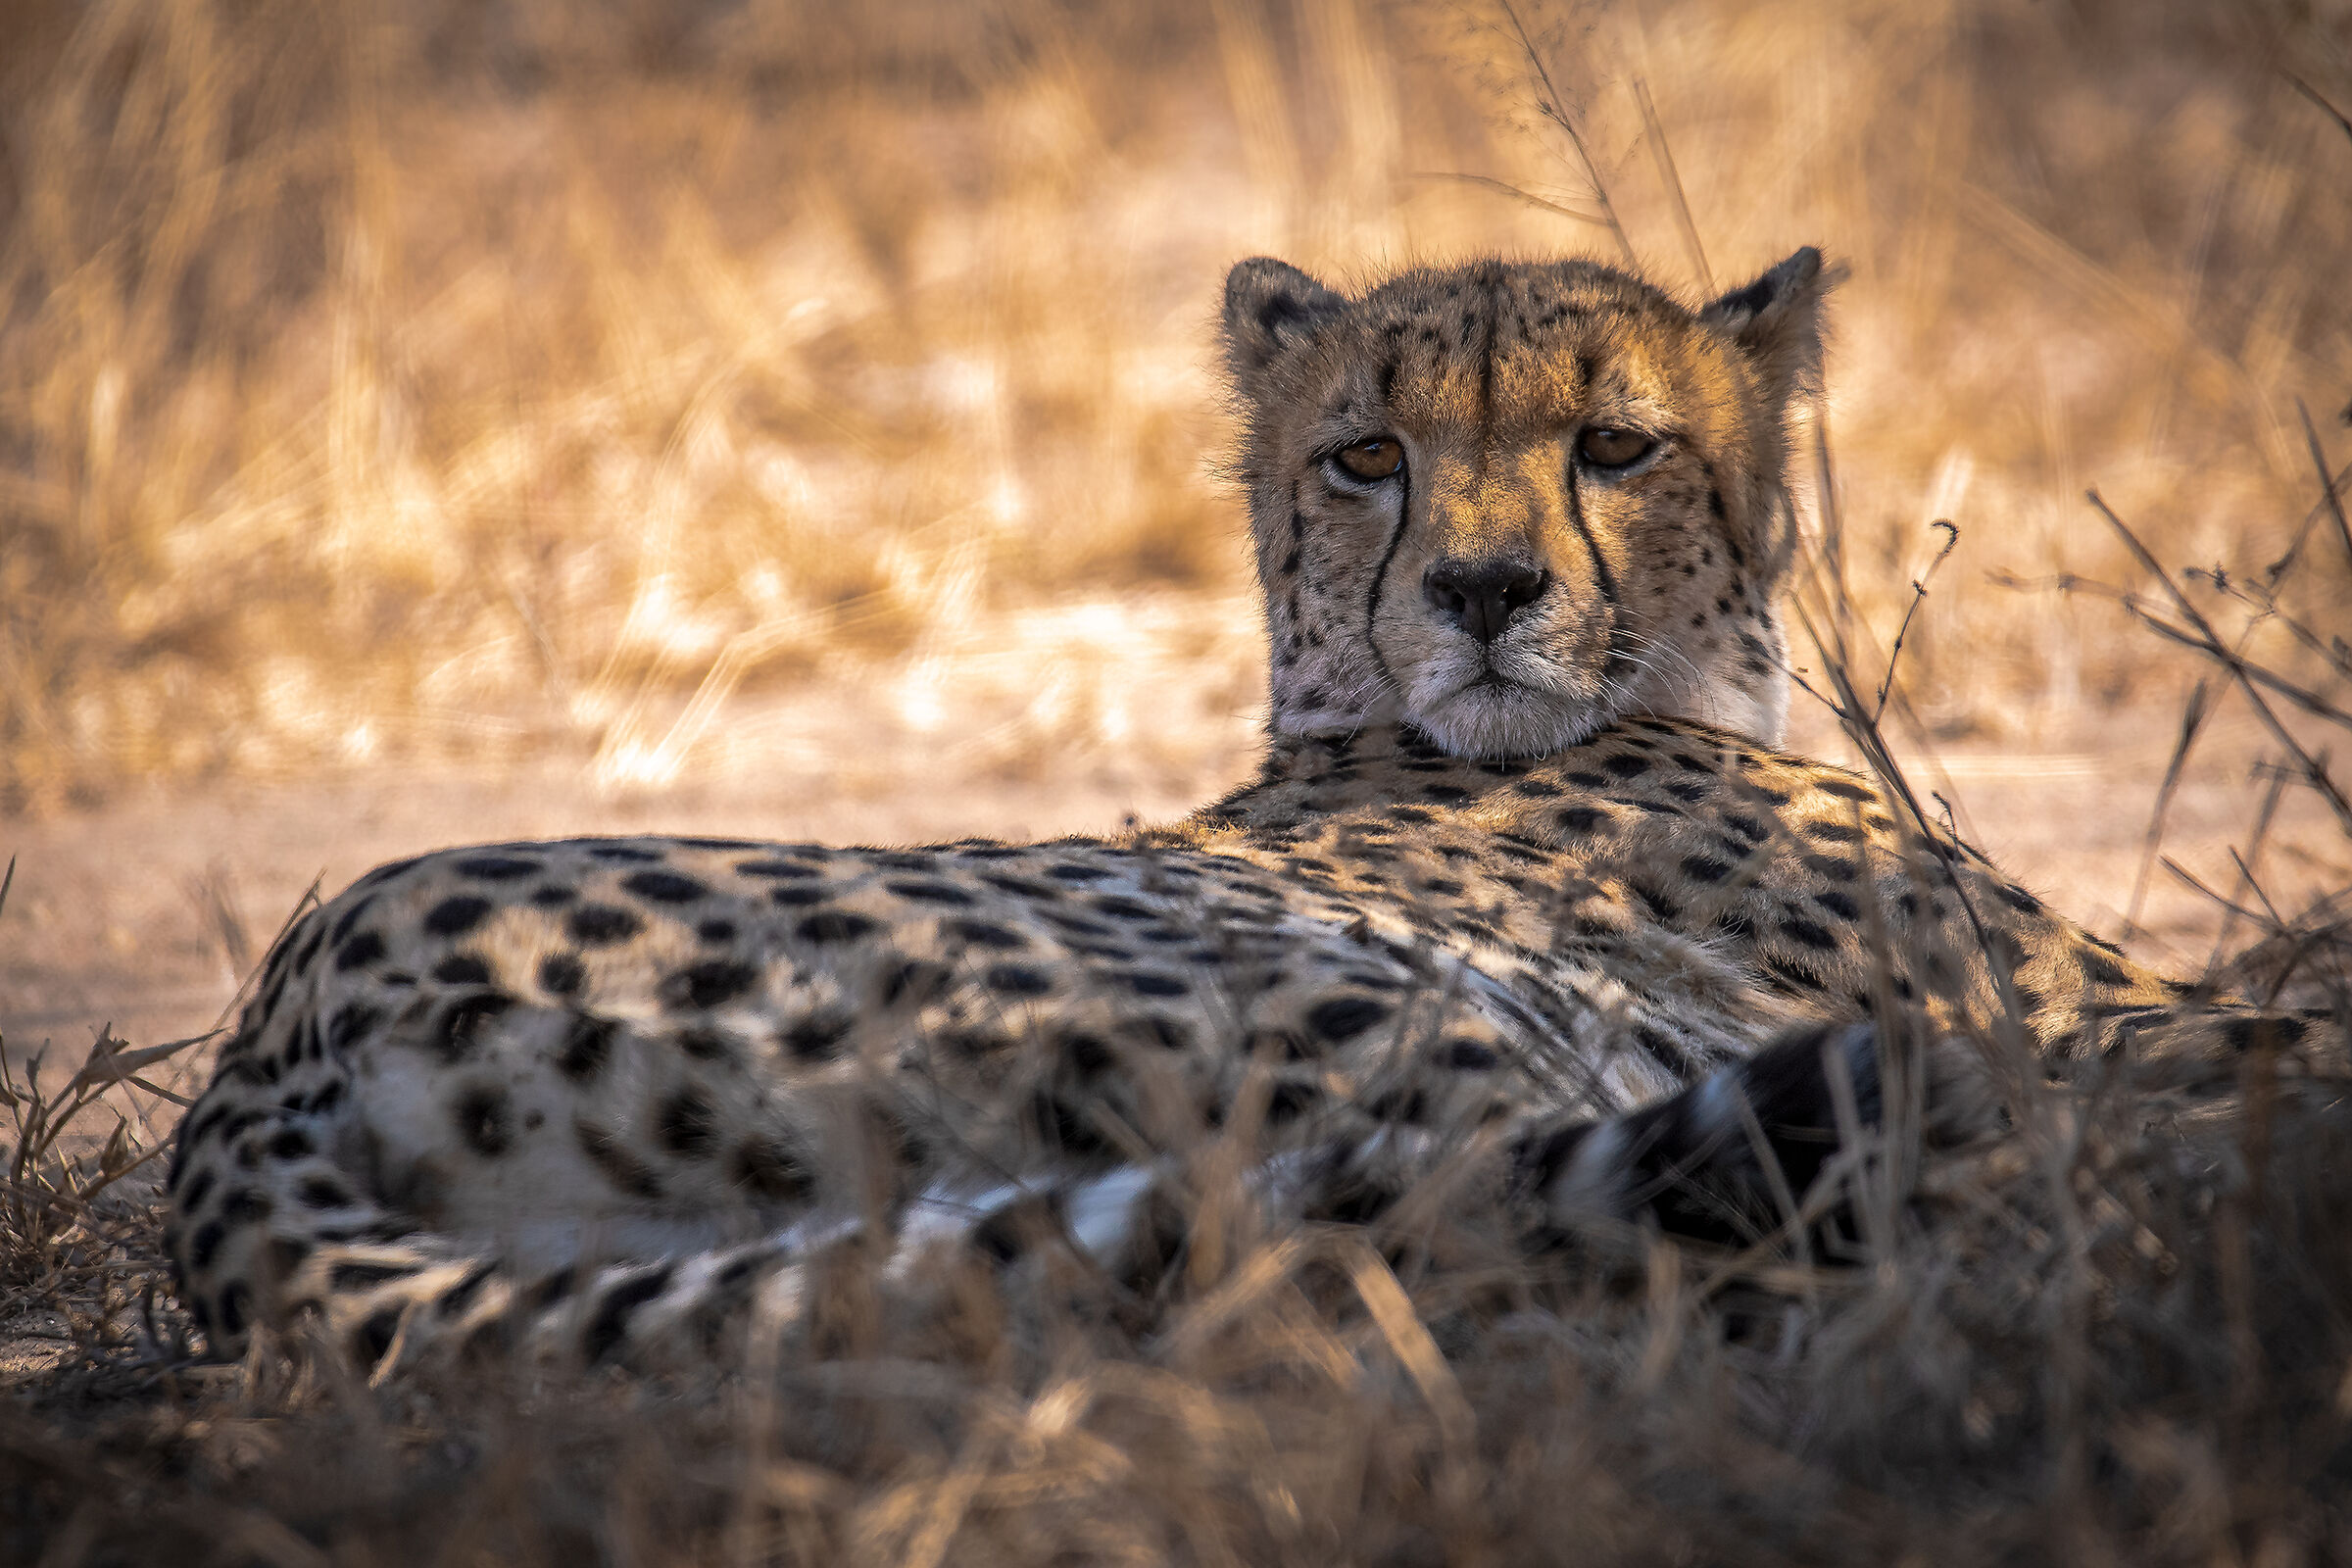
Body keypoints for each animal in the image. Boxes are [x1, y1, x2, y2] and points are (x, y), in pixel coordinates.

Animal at [163, 247, 2331, 1374]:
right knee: (1492, 1244)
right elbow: (2274, 1004)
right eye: (1367, 454)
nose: (1481, 590)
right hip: (1441, 1032)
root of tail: (284, 1011)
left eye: (1616, 444)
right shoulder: (2079, 1004)